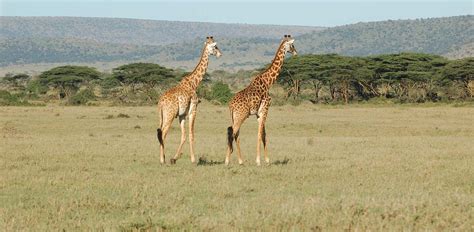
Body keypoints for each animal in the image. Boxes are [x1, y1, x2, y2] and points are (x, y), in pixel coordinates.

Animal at [156, 36, 221, 164]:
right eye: (215, 46)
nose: (220, 54)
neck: (194, 83)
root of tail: (161, 102)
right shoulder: (193, 109)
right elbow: (191, 134)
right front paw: (193, 159)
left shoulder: (181, 115)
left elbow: (184, 136)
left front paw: (174, 158)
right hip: (170, 114)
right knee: (163, 132)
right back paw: (161, 159)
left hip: (163, 115)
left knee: (160, 131)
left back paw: (164, 157)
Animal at [226, 34, 296, 166]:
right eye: (292, 45)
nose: (295, 52)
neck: (268, 82)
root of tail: (231, 105)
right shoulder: (265, 109)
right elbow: (260, 134)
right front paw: (259, 161)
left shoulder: (259, 113)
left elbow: (263, 134)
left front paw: (267, 160)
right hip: (241, 115)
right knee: (233, 132)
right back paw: (227, 160)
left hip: (234, 117)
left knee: (234, 133)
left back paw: (240, 161)